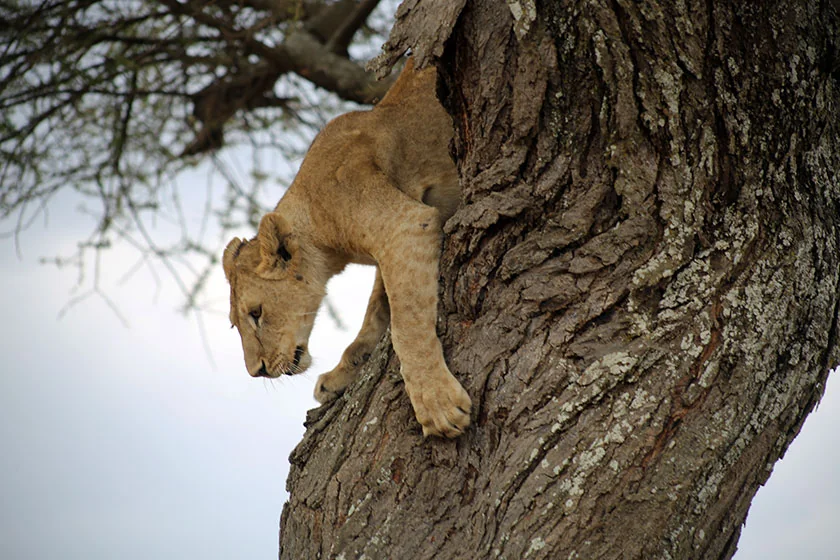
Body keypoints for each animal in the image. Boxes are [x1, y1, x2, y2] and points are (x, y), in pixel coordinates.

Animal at [222, 59, 471, 438]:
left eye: (257, 313)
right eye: (235, 324)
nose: (257, 371)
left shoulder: (406, 224)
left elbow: (406, 323)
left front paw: (437, 403)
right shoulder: (393, 240)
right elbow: (377, 309)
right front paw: (343, 372)